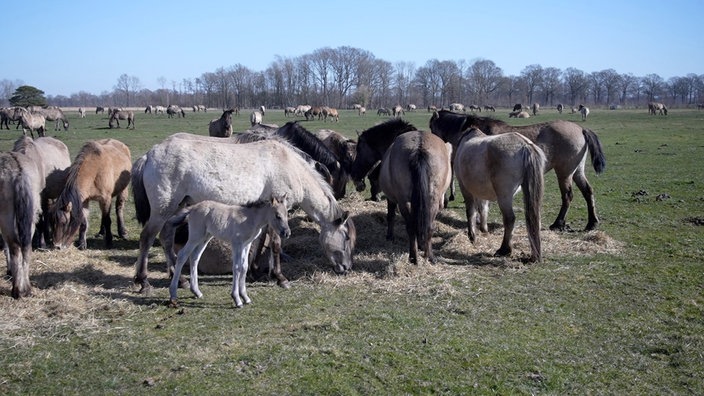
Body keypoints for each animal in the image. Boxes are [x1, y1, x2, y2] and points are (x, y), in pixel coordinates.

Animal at [0, 150, 42, 298]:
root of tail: (18, 172)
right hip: (31, 218)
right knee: (26, 248)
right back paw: (27, 289)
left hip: (6, 218)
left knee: (14, 248)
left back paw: (17, 290)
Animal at [131, 135, 358, 292]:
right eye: (346, 237)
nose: (346, 267)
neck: (290, 167)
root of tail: (149, 154)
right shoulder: (278, 212)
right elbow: (275, 244)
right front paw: (280, 278)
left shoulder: (266, 214)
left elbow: (260, 242)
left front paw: (254, 271)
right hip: (162, 210)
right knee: (147, 238)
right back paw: (143, 281)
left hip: (177, 208)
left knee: (166, 237)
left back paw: (180, 279)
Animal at [380, 131, 452, 264]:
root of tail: (419, 148)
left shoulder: (391, 199)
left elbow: (390, 216)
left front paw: (390, 236)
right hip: (432, 200)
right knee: (427, 226)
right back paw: (429, 256)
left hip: (404, 202)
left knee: (411, 227)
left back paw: (413, 256)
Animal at [426, 110, 608, 230]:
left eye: (432, 127)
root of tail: (581, 129)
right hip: (577, 172)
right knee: (588, 192)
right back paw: (592, 223)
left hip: (564, 173)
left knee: (567, 196)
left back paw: (558, 223)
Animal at [454, 127, 548, 262]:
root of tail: (525, 146)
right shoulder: (480, 191)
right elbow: (483, 209)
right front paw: (483, 230)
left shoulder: (465, 189)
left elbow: (471, 212)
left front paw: (472, 236)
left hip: (504, 197)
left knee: (509, 219)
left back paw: (504, 250)